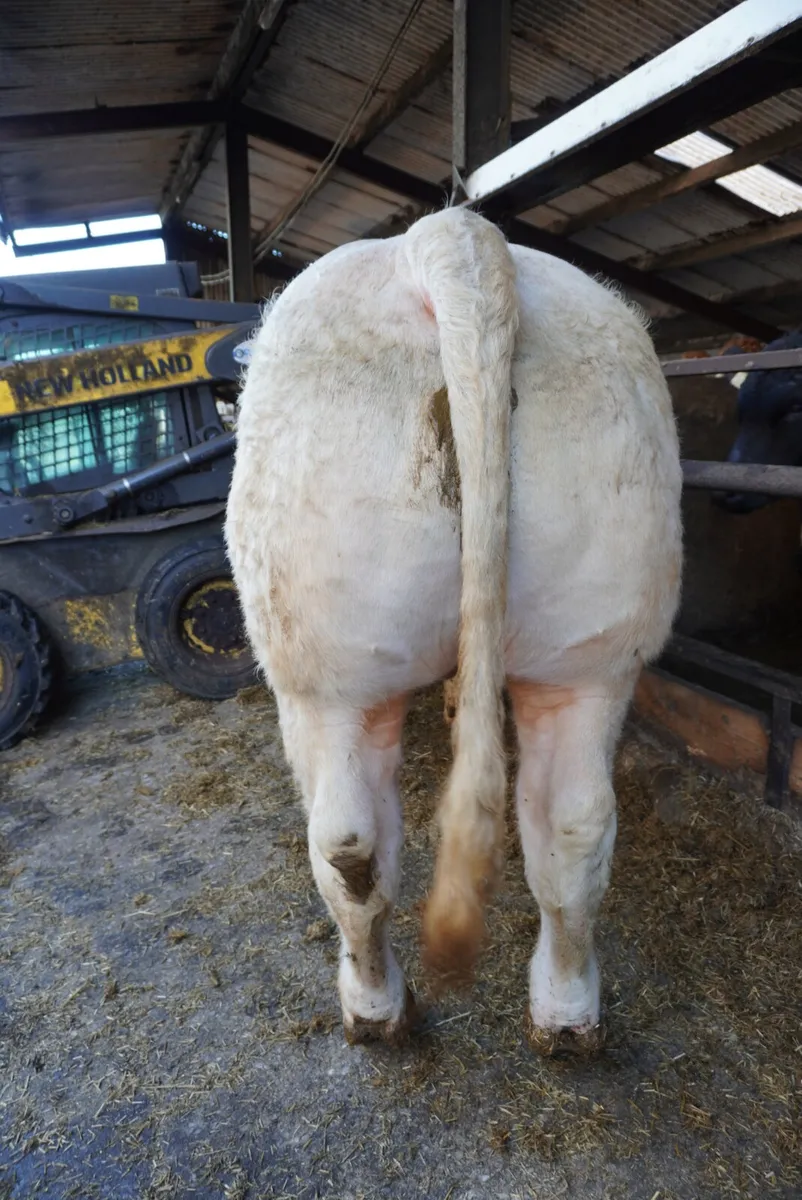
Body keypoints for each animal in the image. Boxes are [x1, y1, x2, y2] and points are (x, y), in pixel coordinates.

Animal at [225, 207, 682, 1056]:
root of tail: (449, 236)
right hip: (590, 647)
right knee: (574, 829)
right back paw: (566, 1014)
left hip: (328, 674)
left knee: (347, 846)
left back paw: (375, 1010)